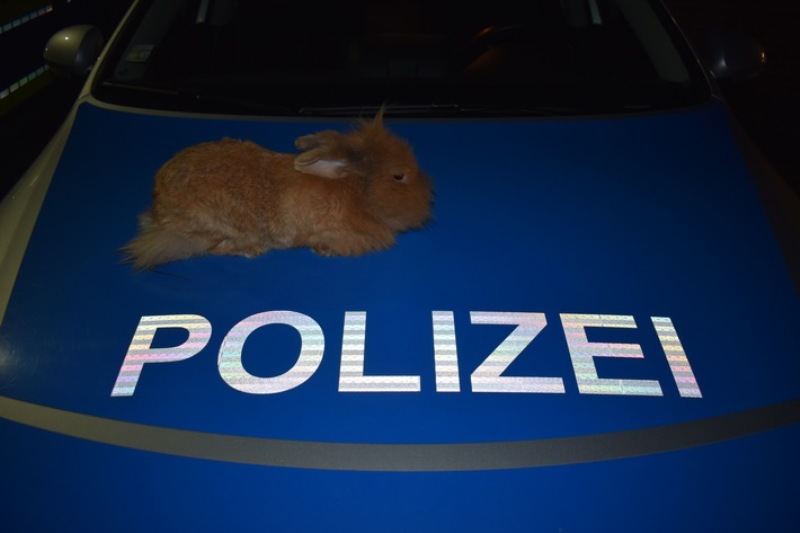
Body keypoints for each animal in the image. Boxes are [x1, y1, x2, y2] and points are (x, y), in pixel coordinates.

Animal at [121, 110, 433, 270]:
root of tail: (159, 216)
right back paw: (252, 250)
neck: (356, 191)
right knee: (214, 248)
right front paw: (324, 251)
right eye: (399, 176)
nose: (429, 202)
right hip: (217, 226)